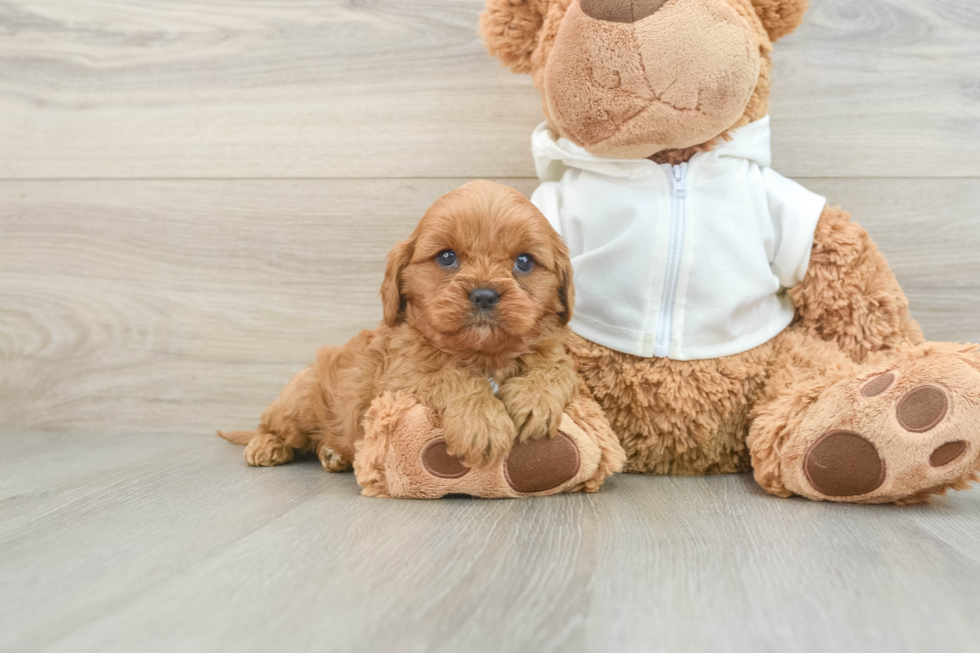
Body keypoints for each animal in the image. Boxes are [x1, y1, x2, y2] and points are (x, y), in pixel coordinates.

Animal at [218, 181, 580, 472]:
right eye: (446, 257)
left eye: (524, 262)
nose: (484, 295)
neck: (483, 355)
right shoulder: (399, 381)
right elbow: (453, 376)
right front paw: (482, 423)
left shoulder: (556, 355)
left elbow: (559, 370)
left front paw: (534, 400)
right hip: (301, 400)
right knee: (272, 426)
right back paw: (267, 445)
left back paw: (334, 454)